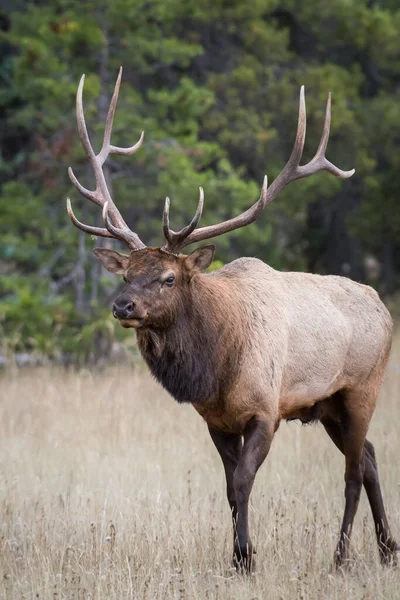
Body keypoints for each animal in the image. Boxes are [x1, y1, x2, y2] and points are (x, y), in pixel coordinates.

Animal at [65, 68, 396, 568]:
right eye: (126, 274)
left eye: (169, 278)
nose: (123, 307)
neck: (217, 368)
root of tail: (383, 306)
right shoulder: (215, 419)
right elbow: (228, 488)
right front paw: (238, 556)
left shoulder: (266, 410)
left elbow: (243, 481)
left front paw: (245, 557)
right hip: (328, 406)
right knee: (372, 459)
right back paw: (387, 548)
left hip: (362, 388)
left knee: (354, 471)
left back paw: (340, 557)